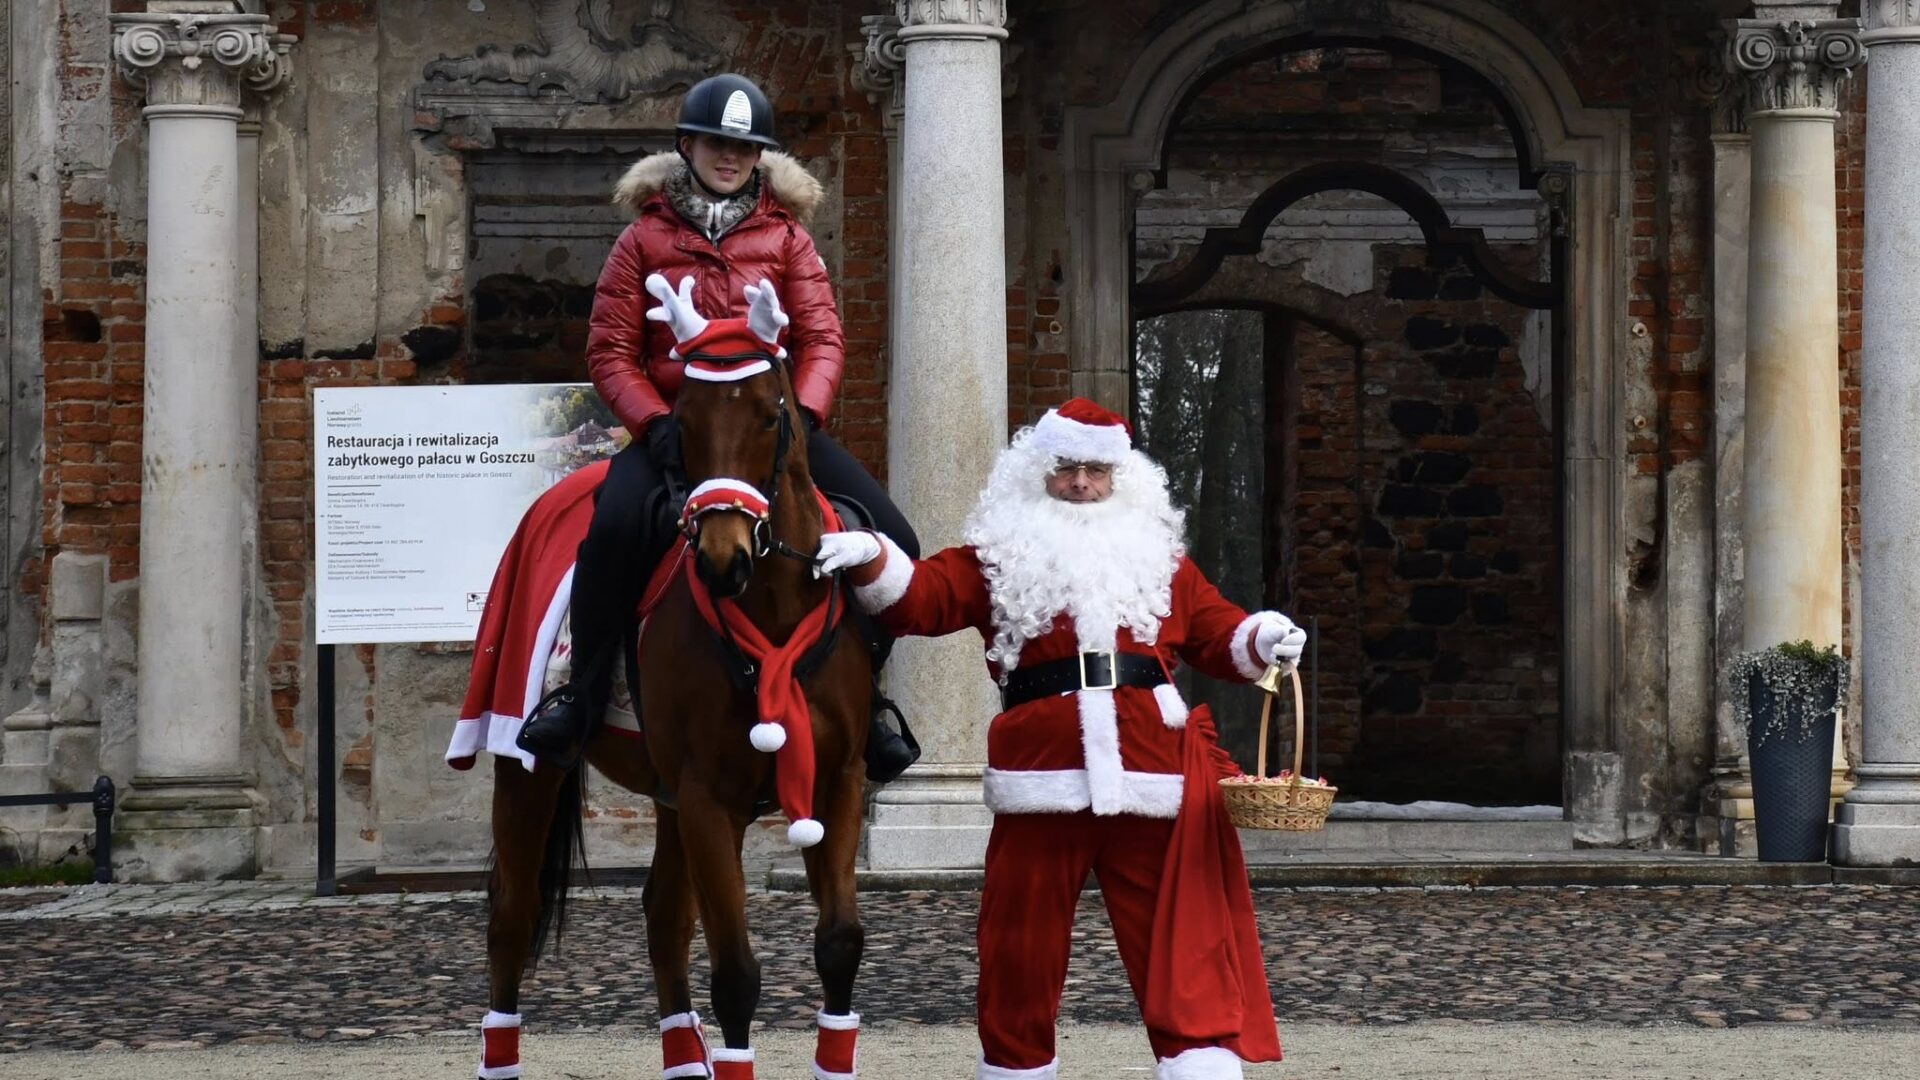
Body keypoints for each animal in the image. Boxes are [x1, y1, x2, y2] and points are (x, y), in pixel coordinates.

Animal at [454, 287, 874, 1080]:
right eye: (684, 423)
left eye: (770, 414)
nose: (720, 560)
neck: (771, 612)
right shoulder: (711, 798)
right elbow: (736, 973)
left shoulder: (836, 781)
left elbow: (838, 944)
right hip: (529, 767)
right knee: (512, 918)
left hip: (668, 791)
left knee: (662, 915)